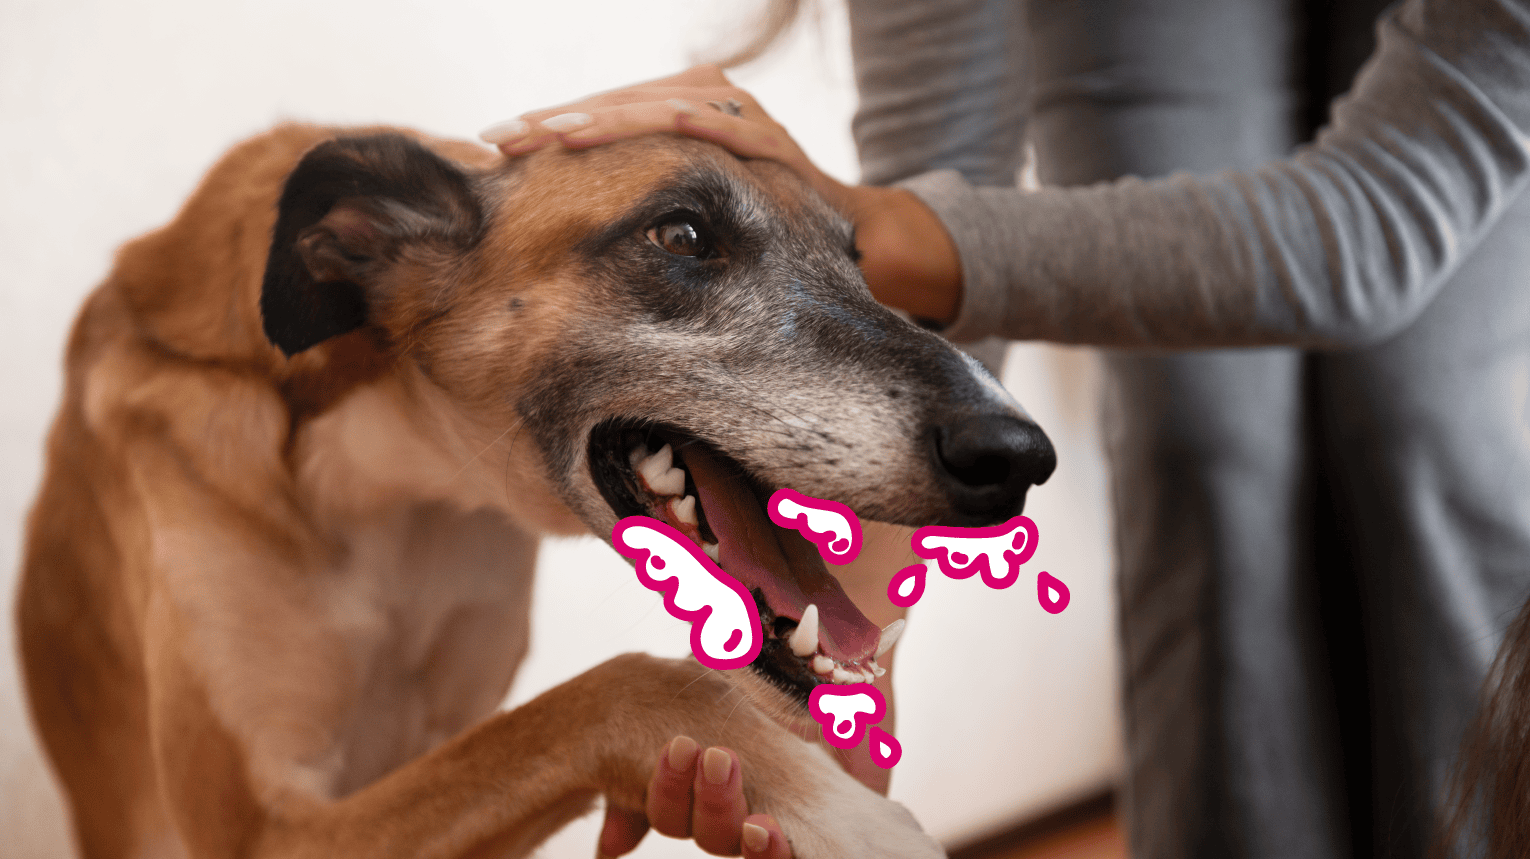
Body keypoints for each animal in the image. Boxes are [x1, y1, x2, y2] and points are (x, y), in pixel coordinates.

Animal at [17, 122, 1058, 857]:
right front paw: (851, 819)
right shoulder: (261, 828)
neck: (396, 485)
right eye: (684, 233)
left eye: (859, 260)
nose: (1018, 455)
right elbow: (622, 683)